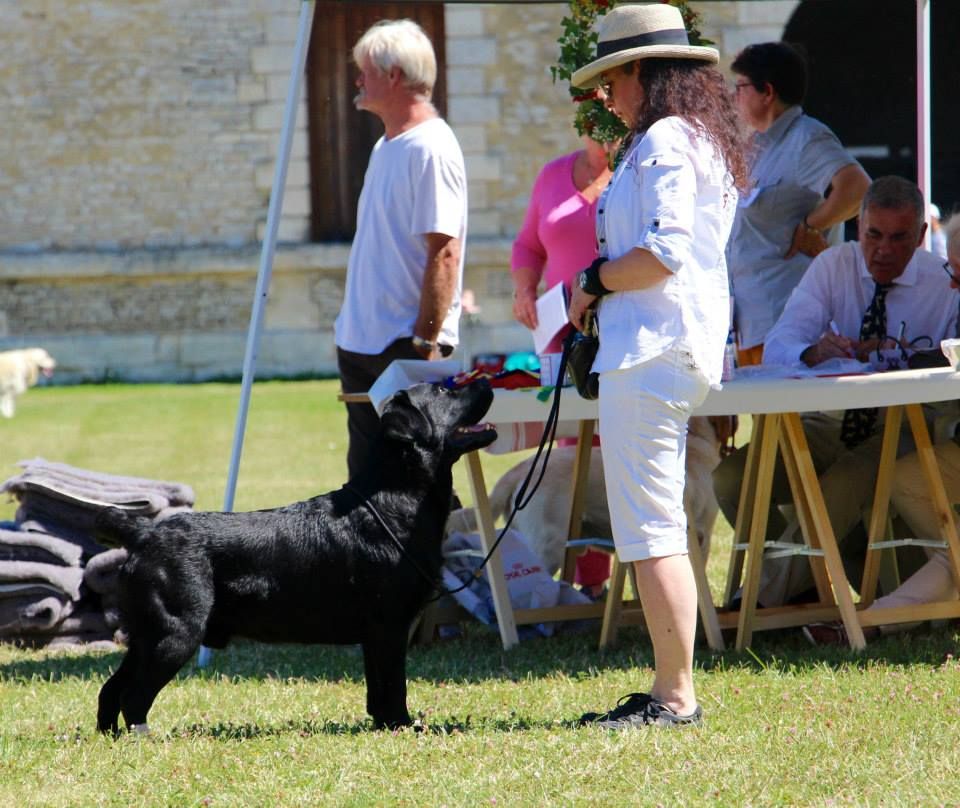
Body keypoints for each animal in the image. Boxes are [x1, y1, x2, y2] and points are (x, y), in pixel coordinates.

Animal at [94, 378, 496, 732]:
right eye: (445, 390)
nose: (487, 380)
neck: (394, 500)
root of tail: (145, 532)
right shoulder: (390, 625)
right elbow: (394, 685)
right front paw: (403, 725)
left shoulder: (375, 633)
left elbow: (377, 689)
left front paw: (384, 725)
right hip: (176, 631)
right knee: (134, 695)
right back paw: (144, 735)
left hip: (147, 635)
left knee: (110, 689)